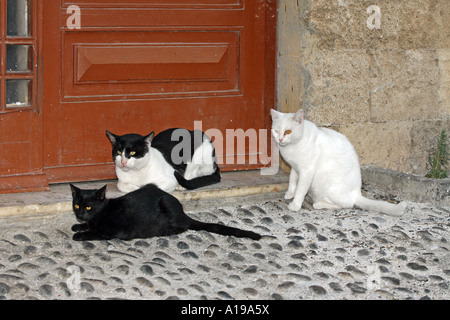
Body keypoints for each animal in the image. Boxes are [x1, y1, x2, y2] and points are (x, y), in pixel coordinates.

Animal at [68, 182, 262, 240]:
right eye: (76, 206)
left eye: (89, 207)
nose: (80, 214)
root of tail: (183, 211)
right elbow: (88, 227)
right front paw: (78, 226)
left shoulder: (115, 232)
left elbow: (96, 233)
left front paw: (79, 234)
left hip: (167, 204)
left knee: (183, 226)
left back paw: (166, 231)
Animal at [270, 109, 408, 216]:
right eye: (276, 131)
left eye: (288, 131)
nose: (280, 139)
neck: (291, 148)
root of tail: (357, 192)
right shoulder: (295, 167)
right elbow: (292, 181)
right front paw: (289, 194)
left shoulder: (306, 171)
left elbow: (300, 189)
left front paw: (295, 205)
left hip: (329, 188)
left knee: (346, 204)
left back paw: (318, 204)